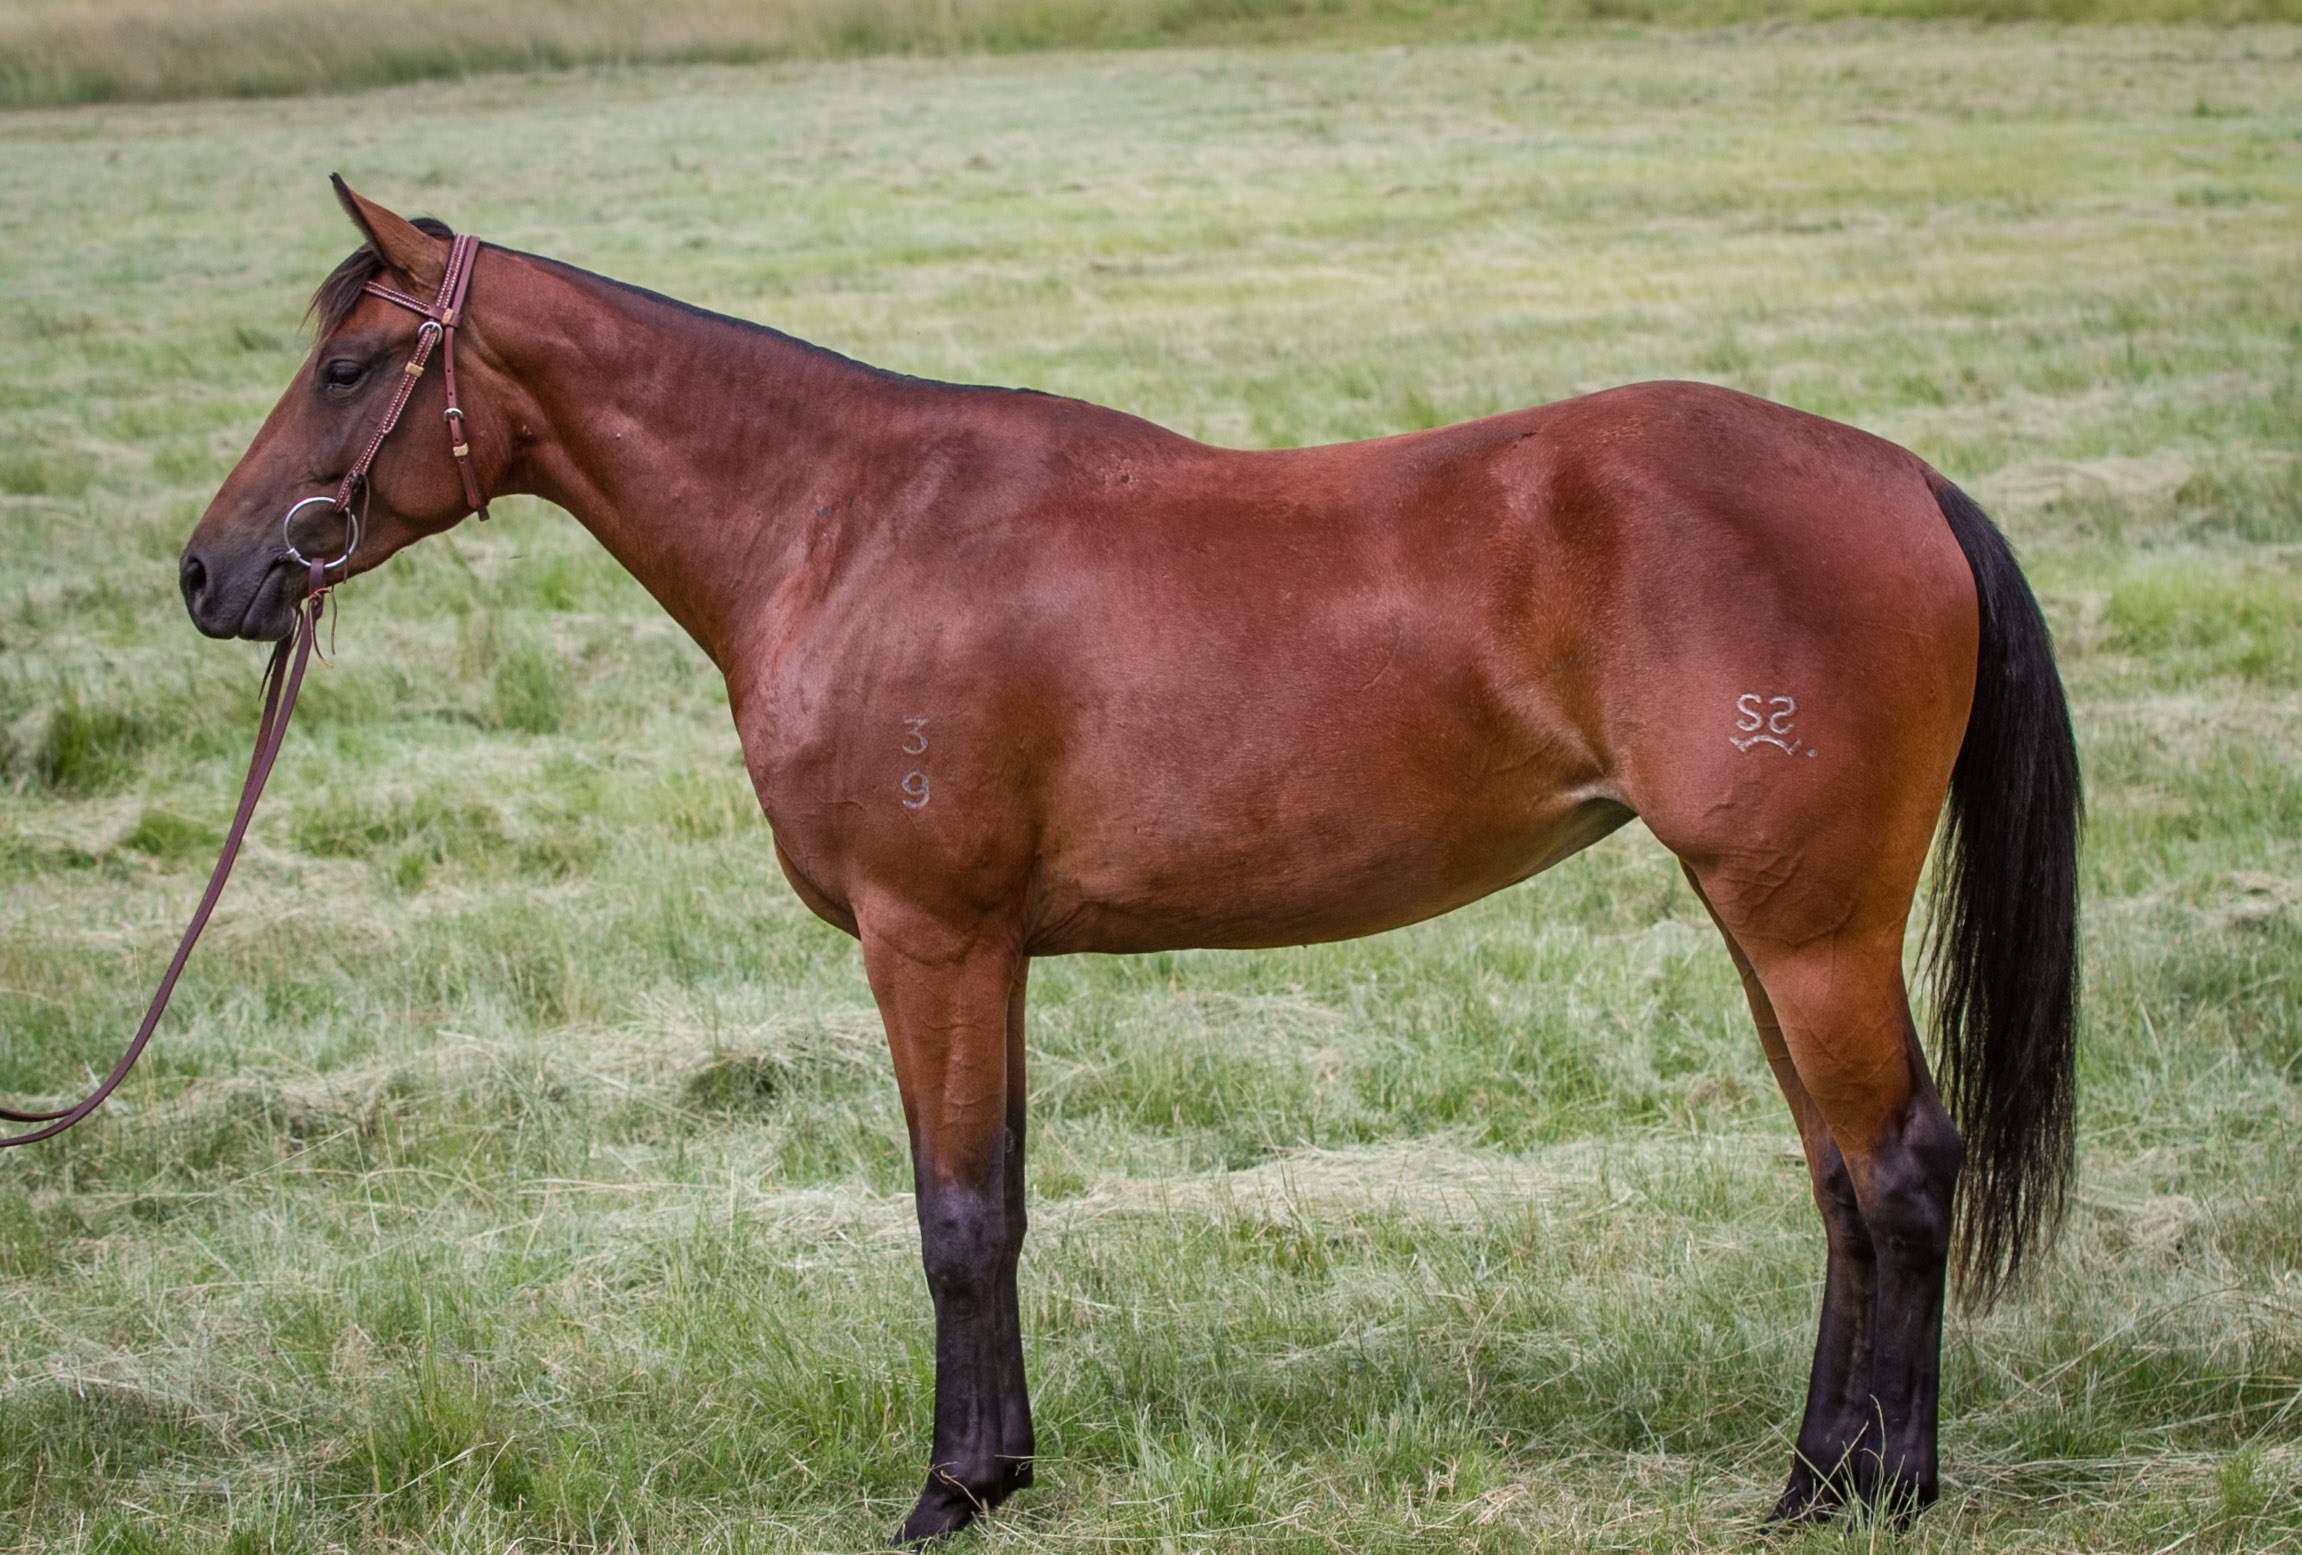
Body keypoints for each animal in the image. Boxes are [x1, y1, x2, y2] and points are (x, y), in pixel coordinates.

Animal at [180, 179, 2079, 1543]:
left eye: (348, 367)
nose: (211, 573)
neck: (846, 527)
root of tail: (1898, 478)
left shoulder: (927, 937)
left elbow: (954, 1213)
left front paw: (950, 1490)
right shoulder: (988, 952)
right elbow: (1003, 1198)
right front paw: (1004, 1466)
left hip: (1807, 925)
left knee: (1903, 1166)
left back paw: (1886, 1489)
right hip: (1763, 923)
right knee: (1838, 1184)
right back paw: (1809, 1480)